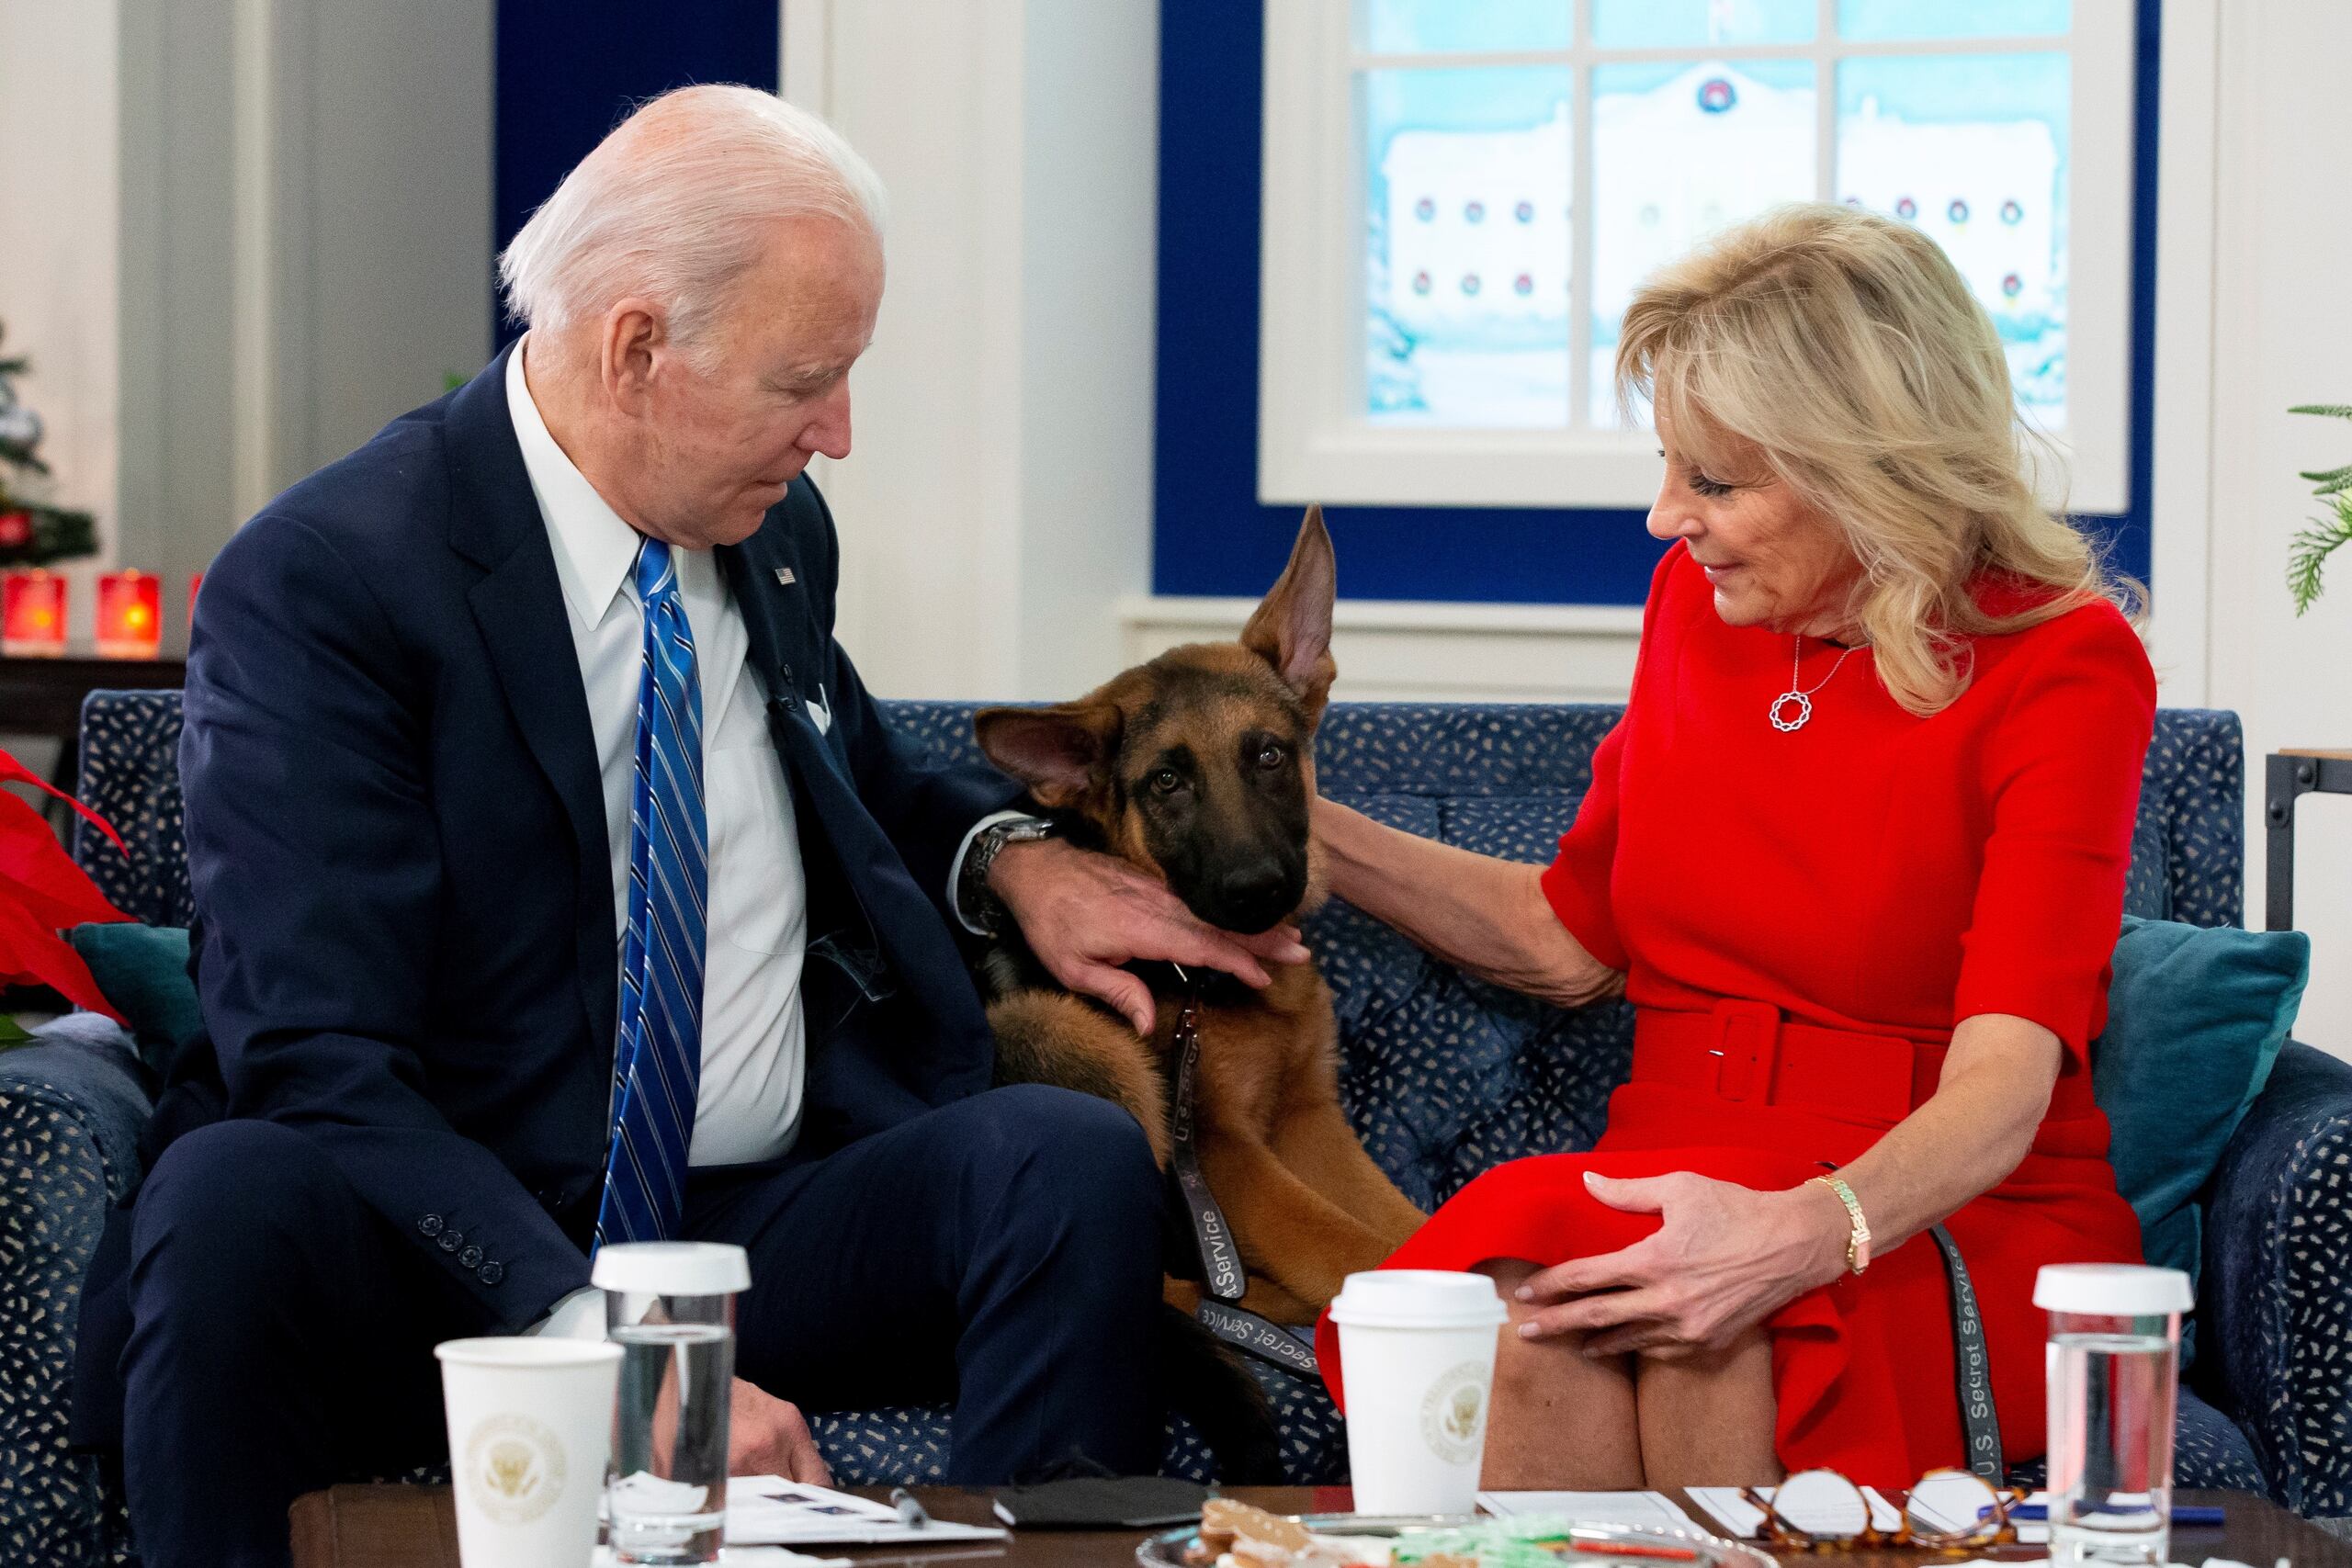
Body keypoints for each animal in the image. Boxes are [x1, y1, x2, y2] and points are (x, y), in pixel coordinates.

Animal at [968, 512, 1420, 1335]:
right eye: (1167, 782)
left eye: (1269, 755)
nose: (1256, 889)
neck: (1209, 977)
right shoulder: (1223, 1151)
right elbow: (1350, 1244)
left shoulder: (1307, 1117)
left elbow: (1404, 1220)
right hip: (1067, 1031)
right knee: (1161, 1286)